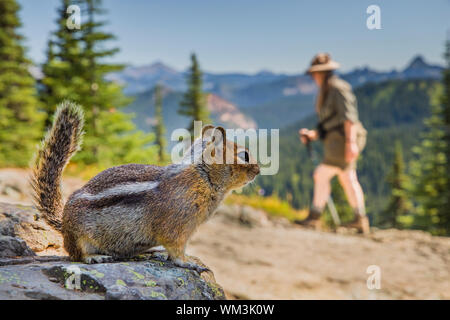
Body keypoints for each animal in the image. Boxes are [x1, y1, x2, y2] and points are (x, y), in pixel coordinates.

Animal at [31, 101, 260, 272]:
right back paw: (95, 258)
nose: (258, 170)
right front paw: (188, 263)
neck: (203, 177)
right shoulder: (177, 227)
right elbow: (176, 250)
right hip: (80, 237)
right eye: (245, 155)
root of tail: (64, 225)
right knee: (77, 254)